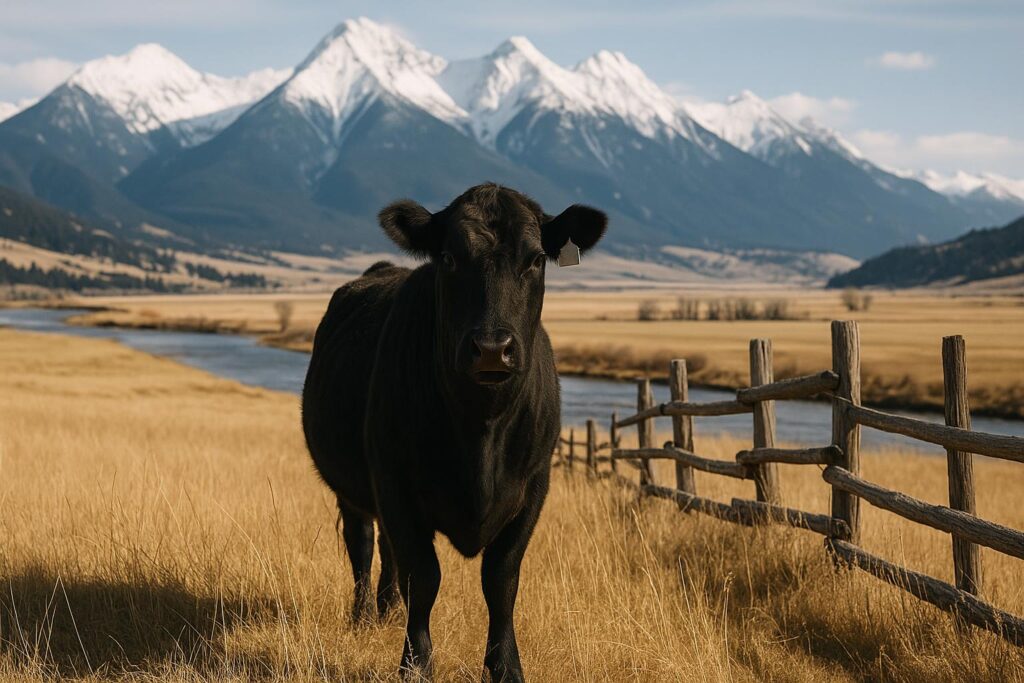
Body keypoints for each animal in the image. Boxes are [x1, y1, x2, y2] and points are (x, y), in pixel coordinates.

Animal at [301, 183, 606, 681]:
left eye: (535, 259)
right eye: (448, 258)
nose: (492, 348)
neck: (481, 431)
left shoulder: (533, 488)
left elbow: (501, 580)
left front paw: (505, 668)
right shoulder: (396, 485)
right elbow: (424, 576)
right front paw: (415, 664)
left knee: (386, 550)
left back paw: (389, 610)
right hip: (353, 489)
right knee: (363, 546)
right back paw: (364, 616)